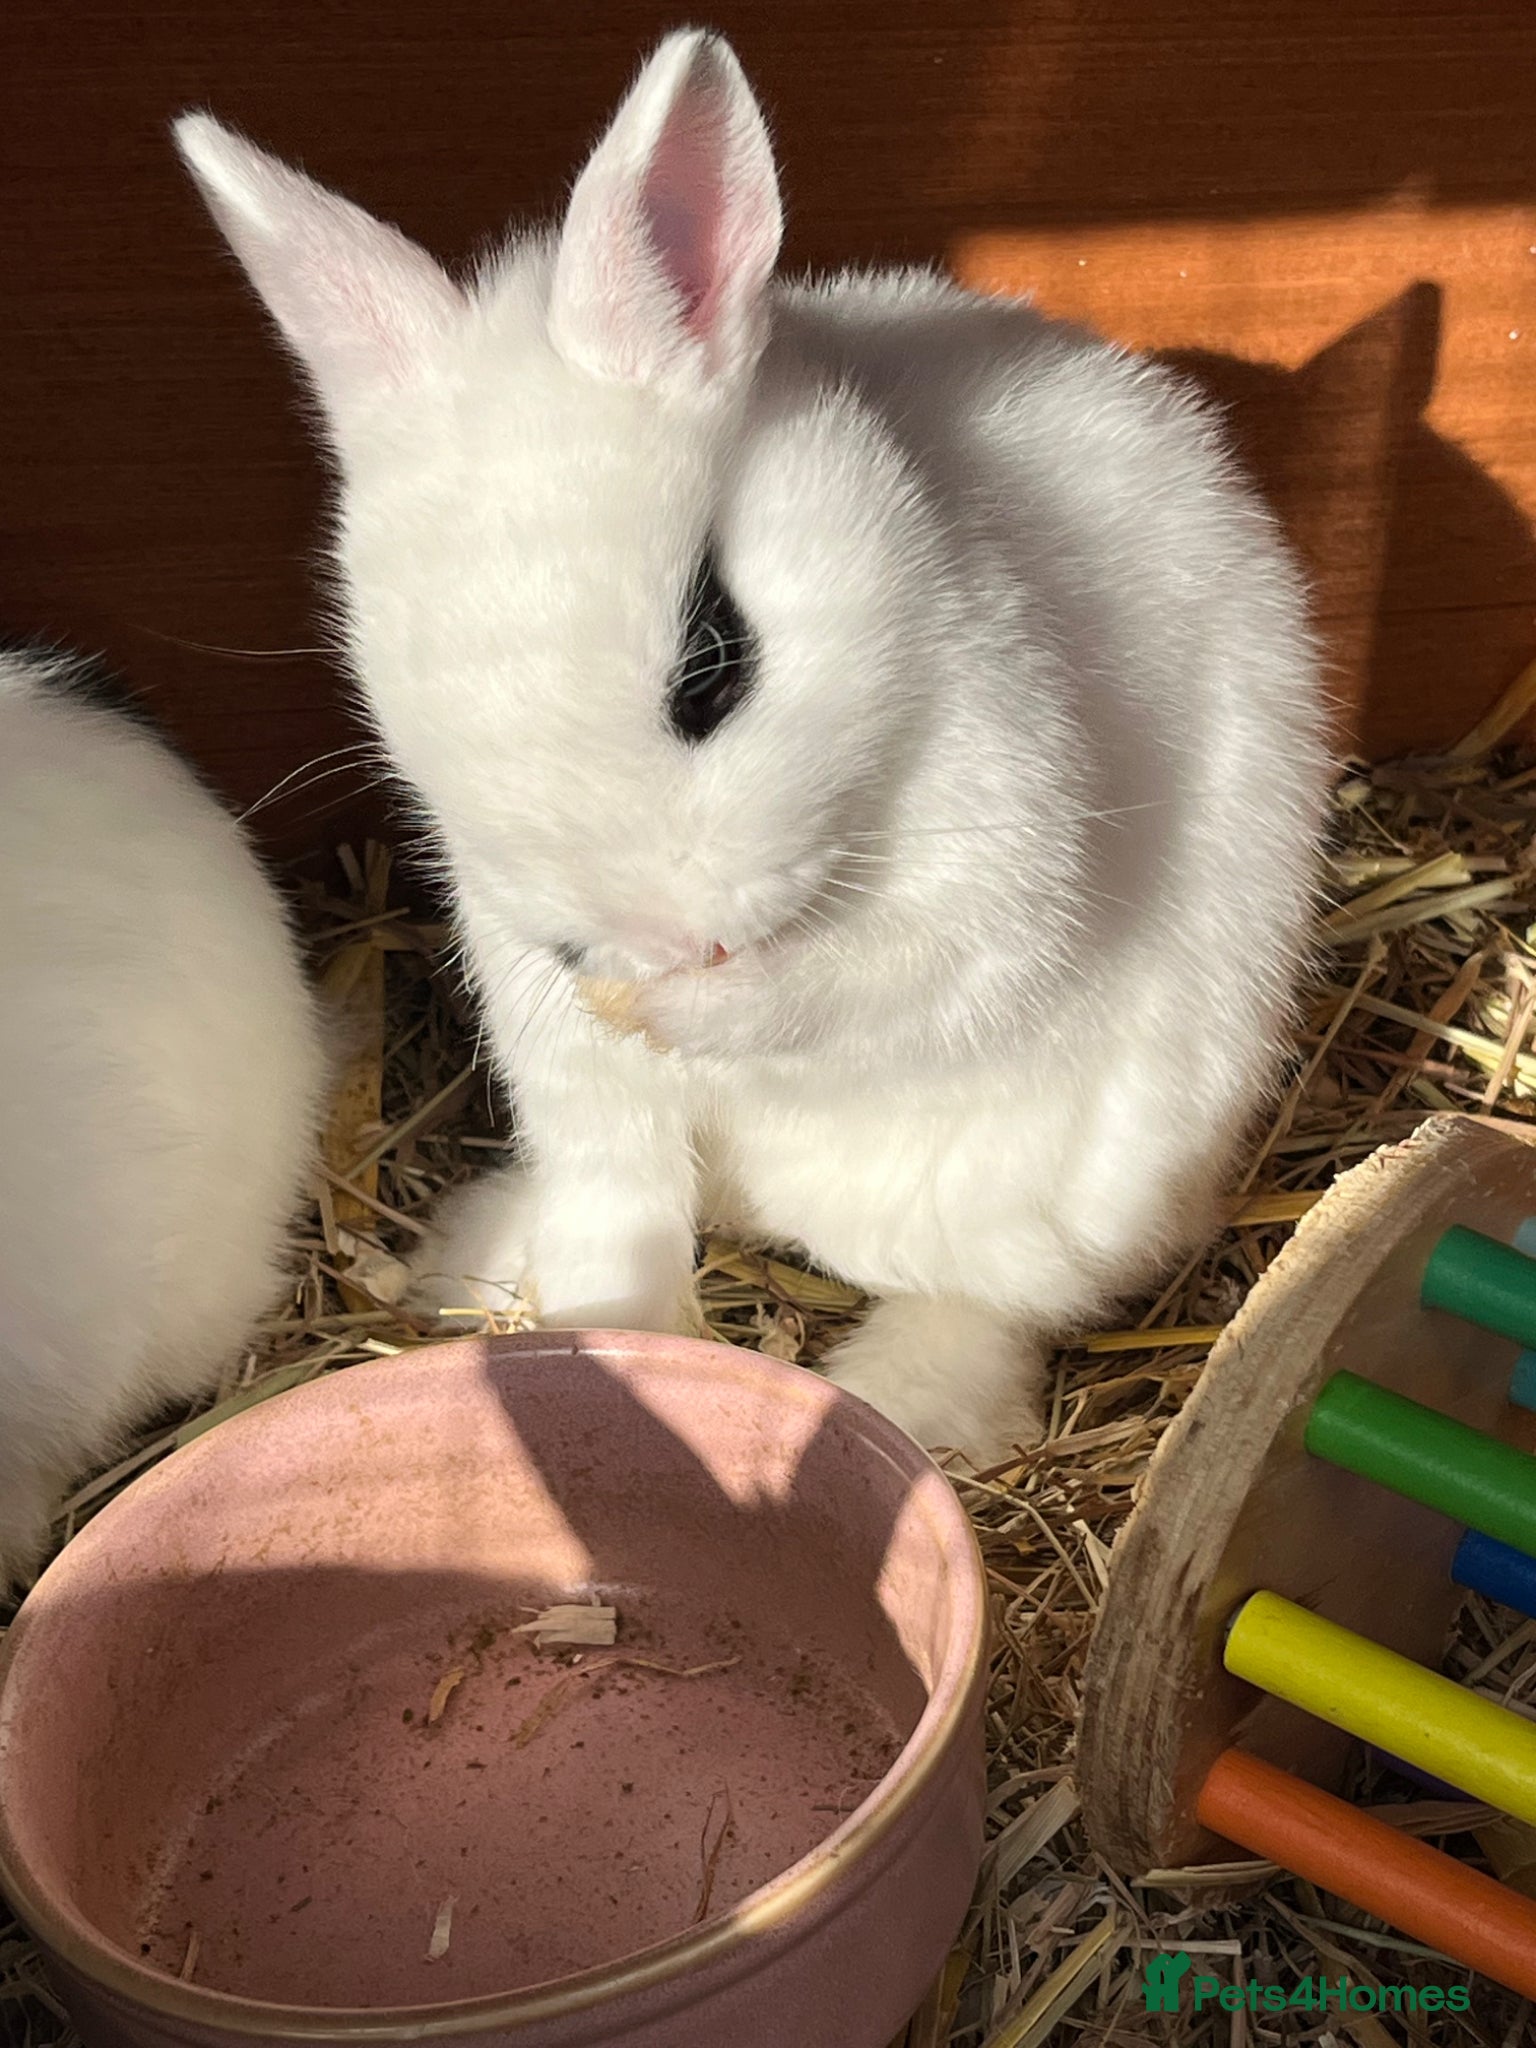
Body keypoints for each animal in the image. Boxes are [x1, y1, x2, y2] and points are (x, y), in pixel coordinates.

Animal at [174, 27, 1329, 1463]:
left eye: (713, 657)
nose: (645, 946)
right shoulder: (558, 1032)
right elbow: (619, 1209)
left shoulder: (1003, 858)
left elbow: (881, 979)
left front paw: (696, 1006)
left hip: (1069, 1188)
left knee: (998, 1297)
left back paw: (911, 1400)